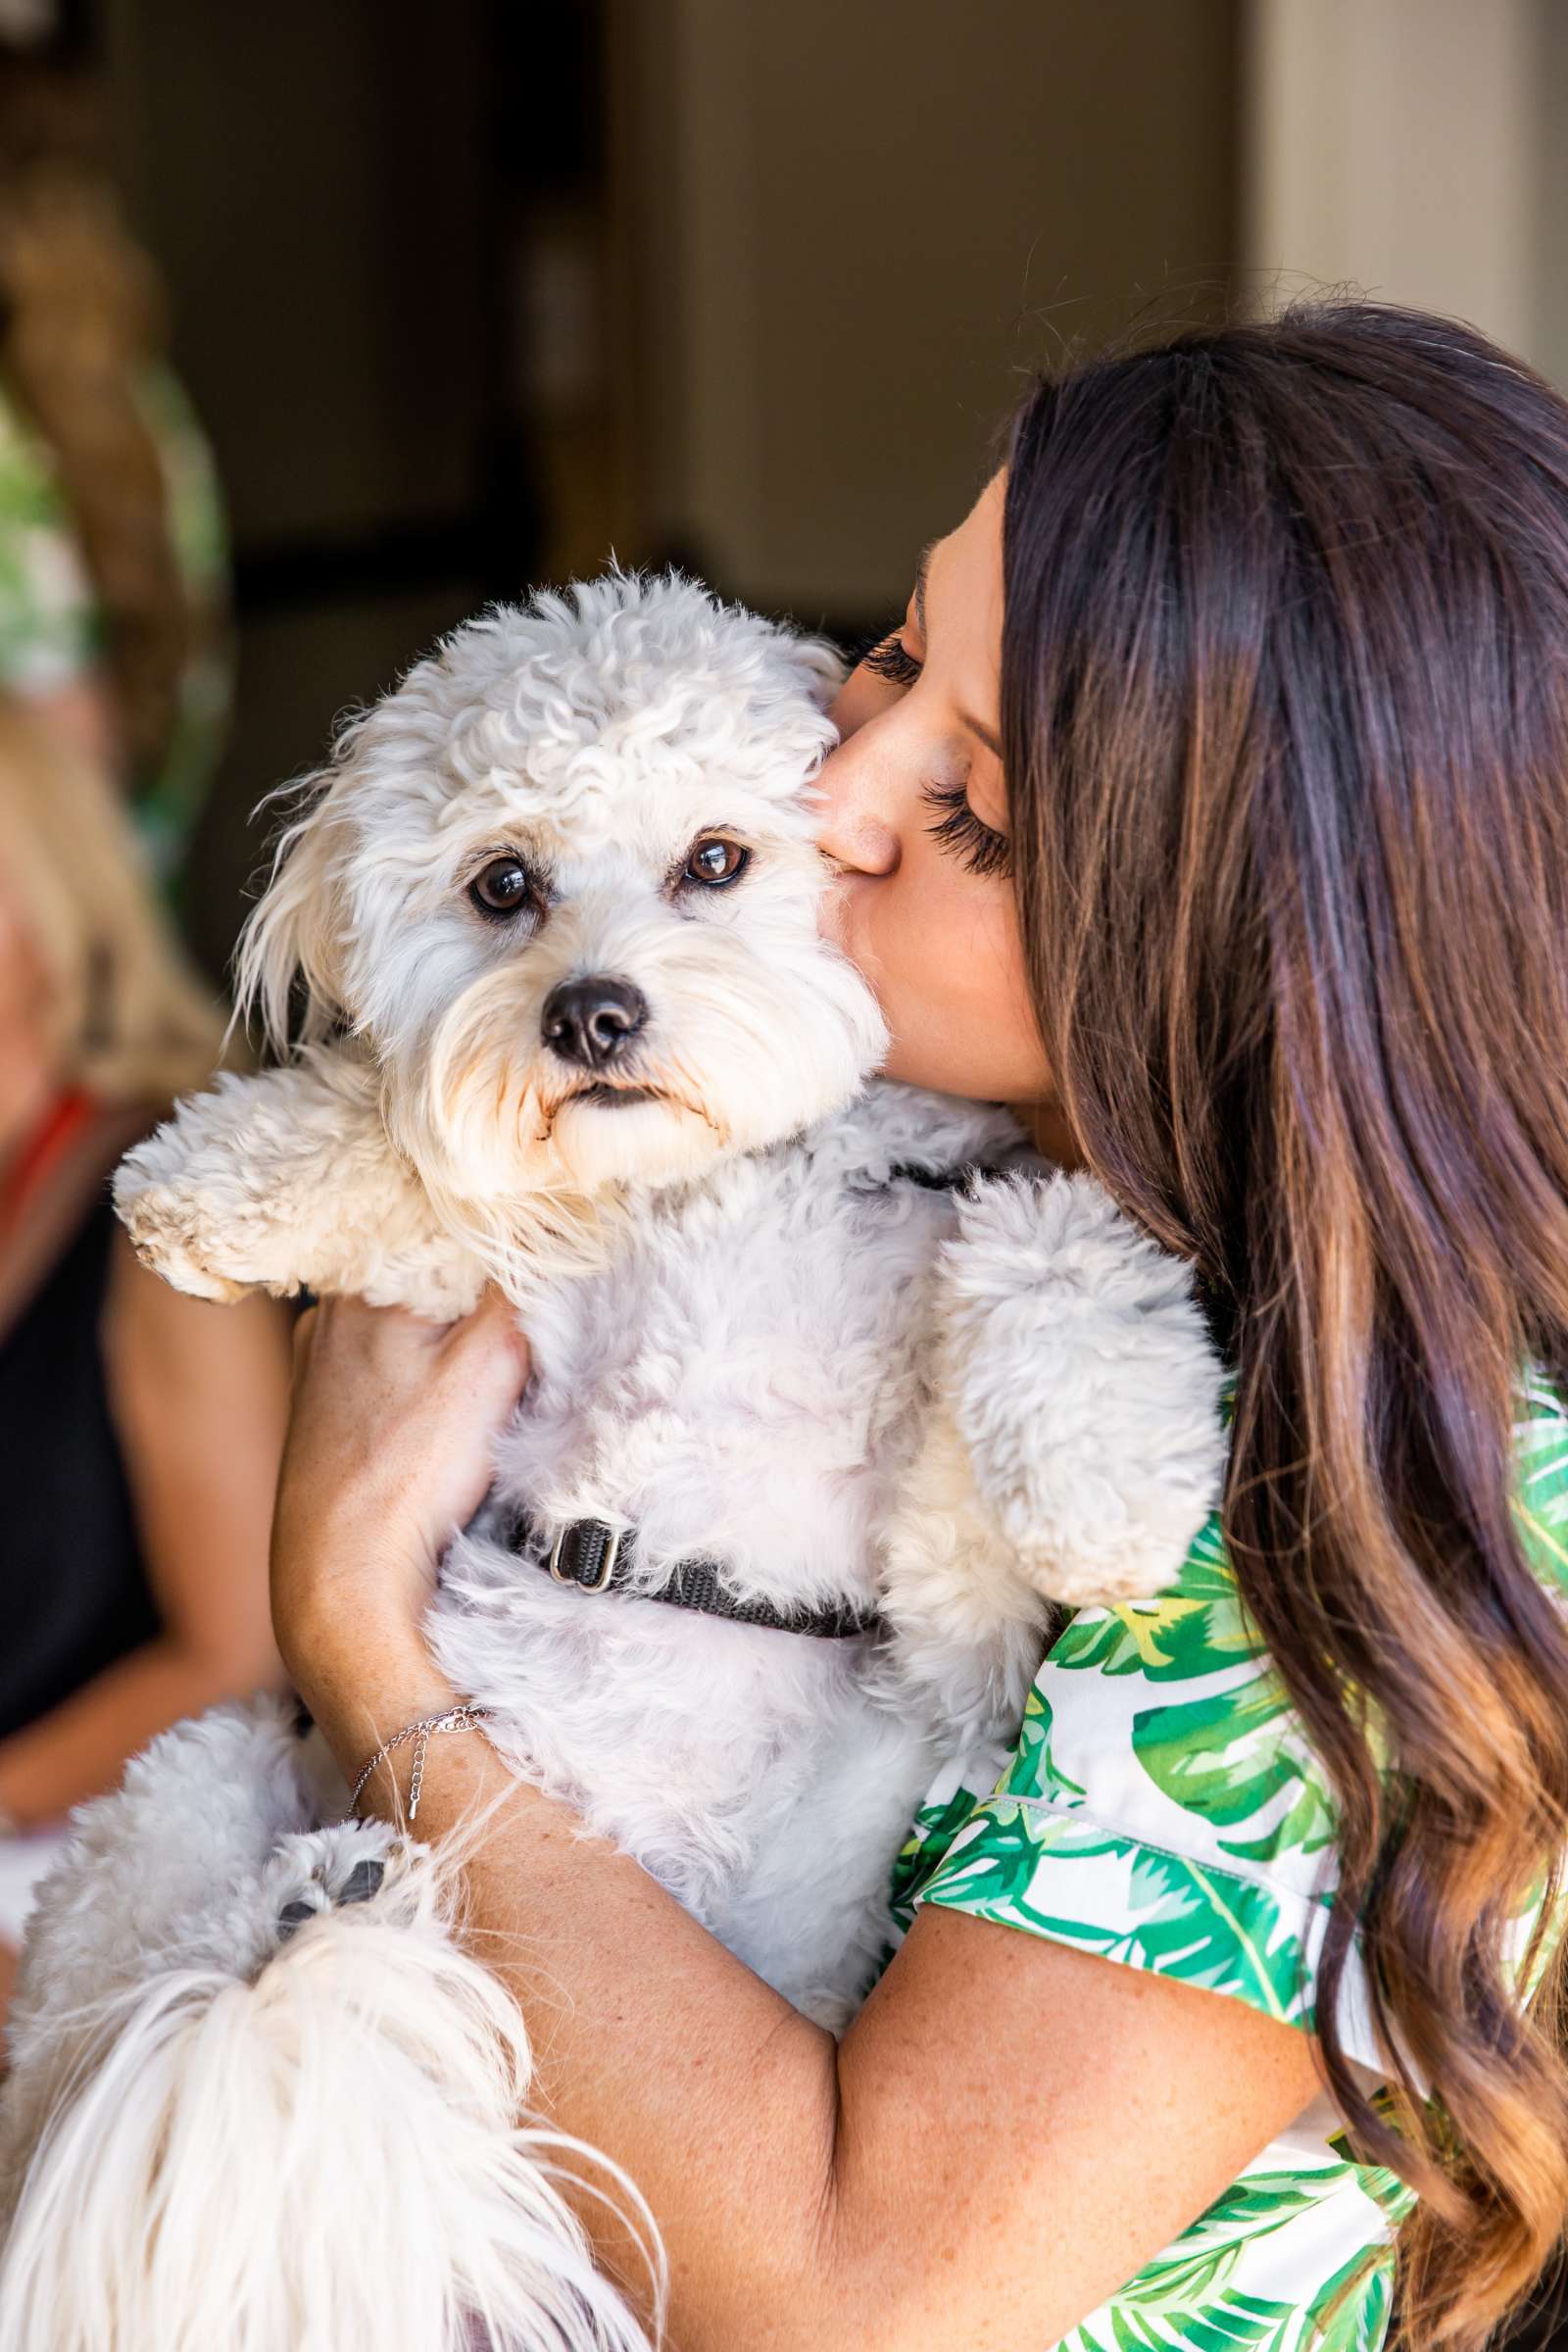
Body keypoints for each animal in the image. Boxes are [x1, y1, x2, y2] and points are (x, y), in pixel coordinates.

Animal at [0, 573, 1222, 2352]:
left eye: (716, 859)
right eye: (503, 883)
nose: (591, 1013)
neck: (734, 1186)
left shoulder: (950, 1599)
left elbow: (1051, 1245)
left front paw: (1116, 1483)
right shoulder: (519, 1299)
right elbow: (416, 1148)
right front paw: (221, 1178)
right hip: (195, 1783)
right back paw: (313, 1924)